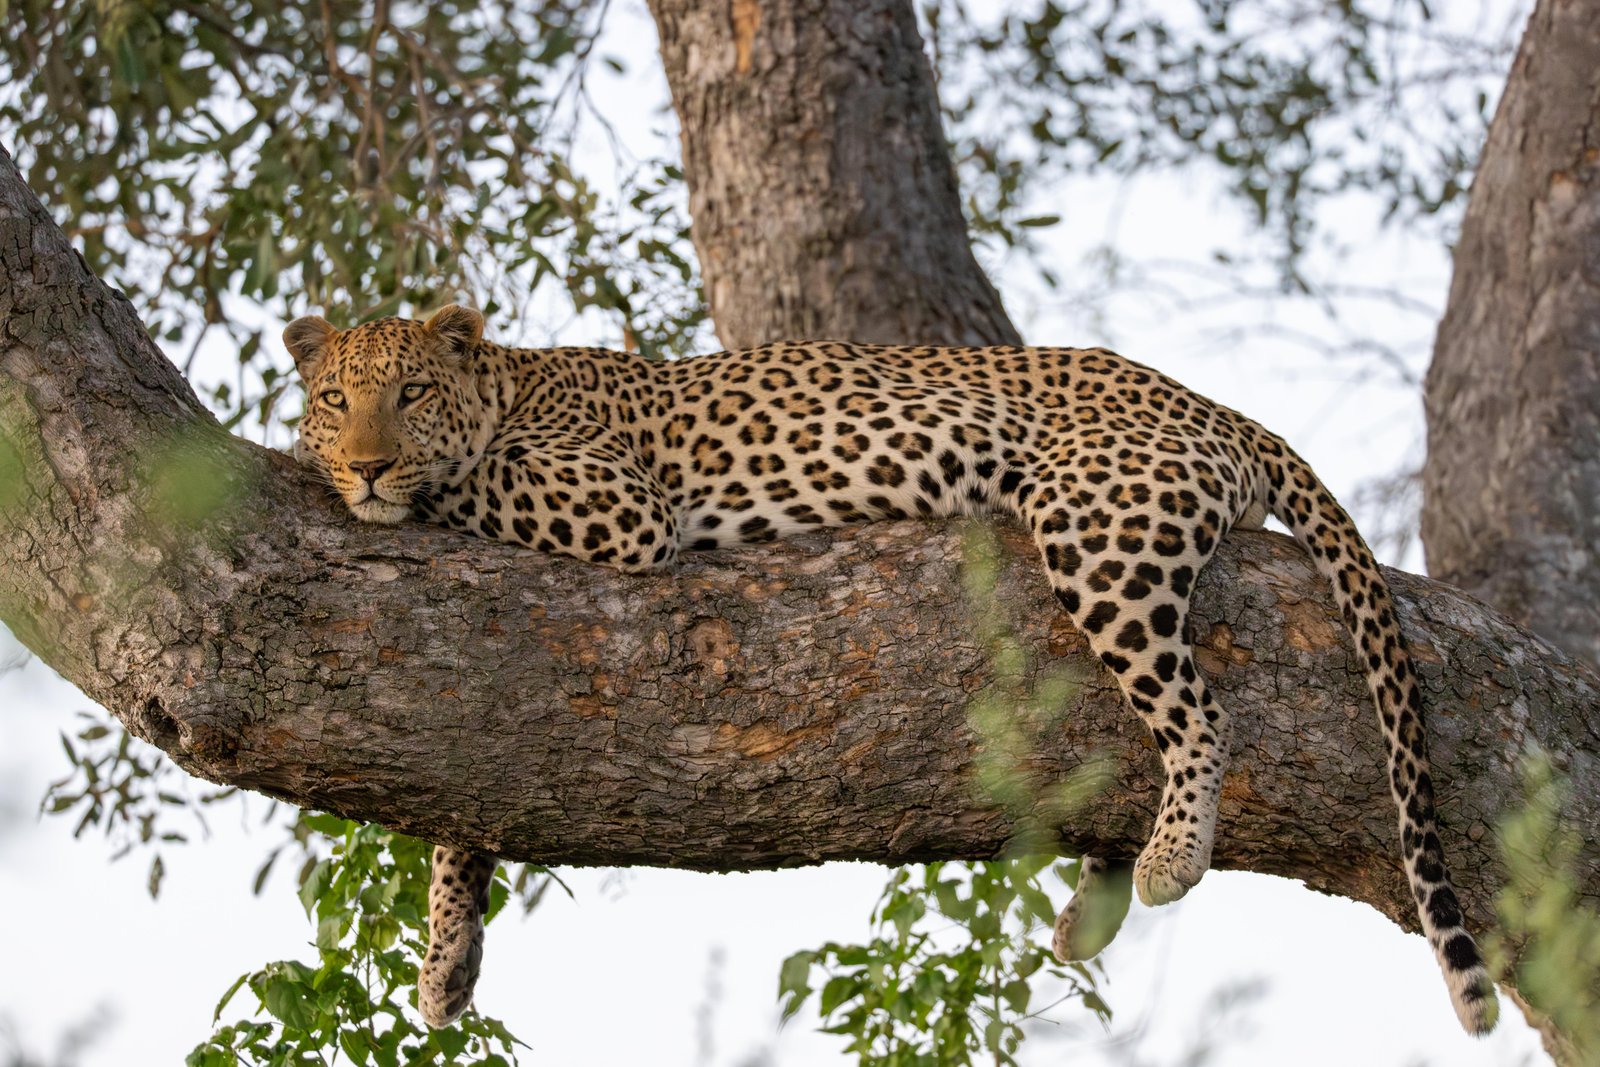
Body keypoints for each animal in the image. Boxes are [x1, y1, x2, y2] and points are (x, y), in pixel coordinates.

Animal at [286, 305, 1498, 1035]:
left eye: (409, 395)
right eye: (338, 395)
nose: (367, 461)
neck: (509, 386)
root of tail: (1215, 404)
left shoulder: (614, 506)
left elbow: (464, 482)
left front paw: (362, 476)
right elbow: (464, 808)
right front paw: (447, 959)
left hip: (1099, 523)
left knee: (1200, 710)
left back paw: (1168, 858)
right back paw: (1090, 914)